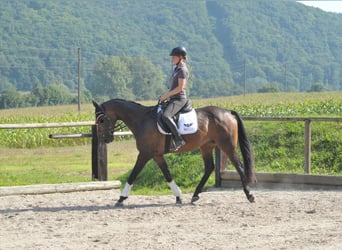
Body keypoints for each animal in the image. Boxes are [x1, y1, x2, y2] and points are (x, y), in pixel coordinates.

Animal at [92, 97, 255, 205]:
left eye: (102, 120)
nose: (104, 139)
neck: (142, 120)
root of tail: (228, 112)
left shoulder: (145, 154)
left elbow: (133, 175)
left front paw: (121, 198)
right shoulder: (157, 155)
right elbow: (167, 174)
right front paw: (178, 196)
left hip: (227, 145)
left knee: (239, 166)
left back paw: (250, 195)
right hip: (206, 146)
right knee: (209, 167)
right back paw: (195, 195)